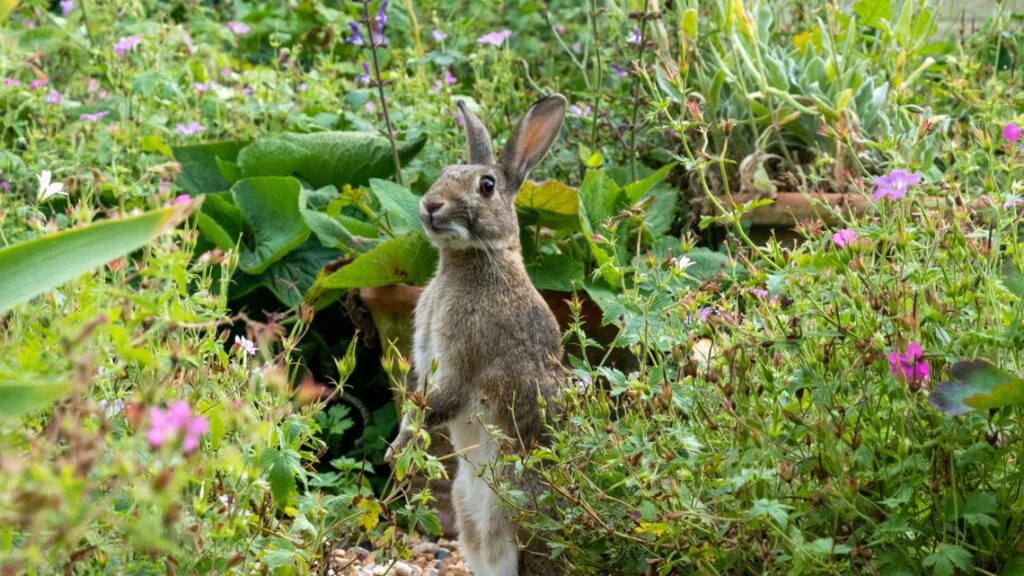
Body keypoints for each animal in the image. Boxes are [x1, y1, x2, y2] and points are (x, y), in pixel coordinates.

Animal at [387, 94, 570, 576]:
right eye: (443, 172)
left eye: (486, 186)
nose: (431, 205)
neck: (471, 259)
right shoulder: (426, 359)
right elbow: (415, 400)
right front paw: (397, 449)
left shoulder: (462, 365)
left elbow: (436, 404)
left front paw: (396, 452)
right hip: (465, 511)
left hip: (518, 508)